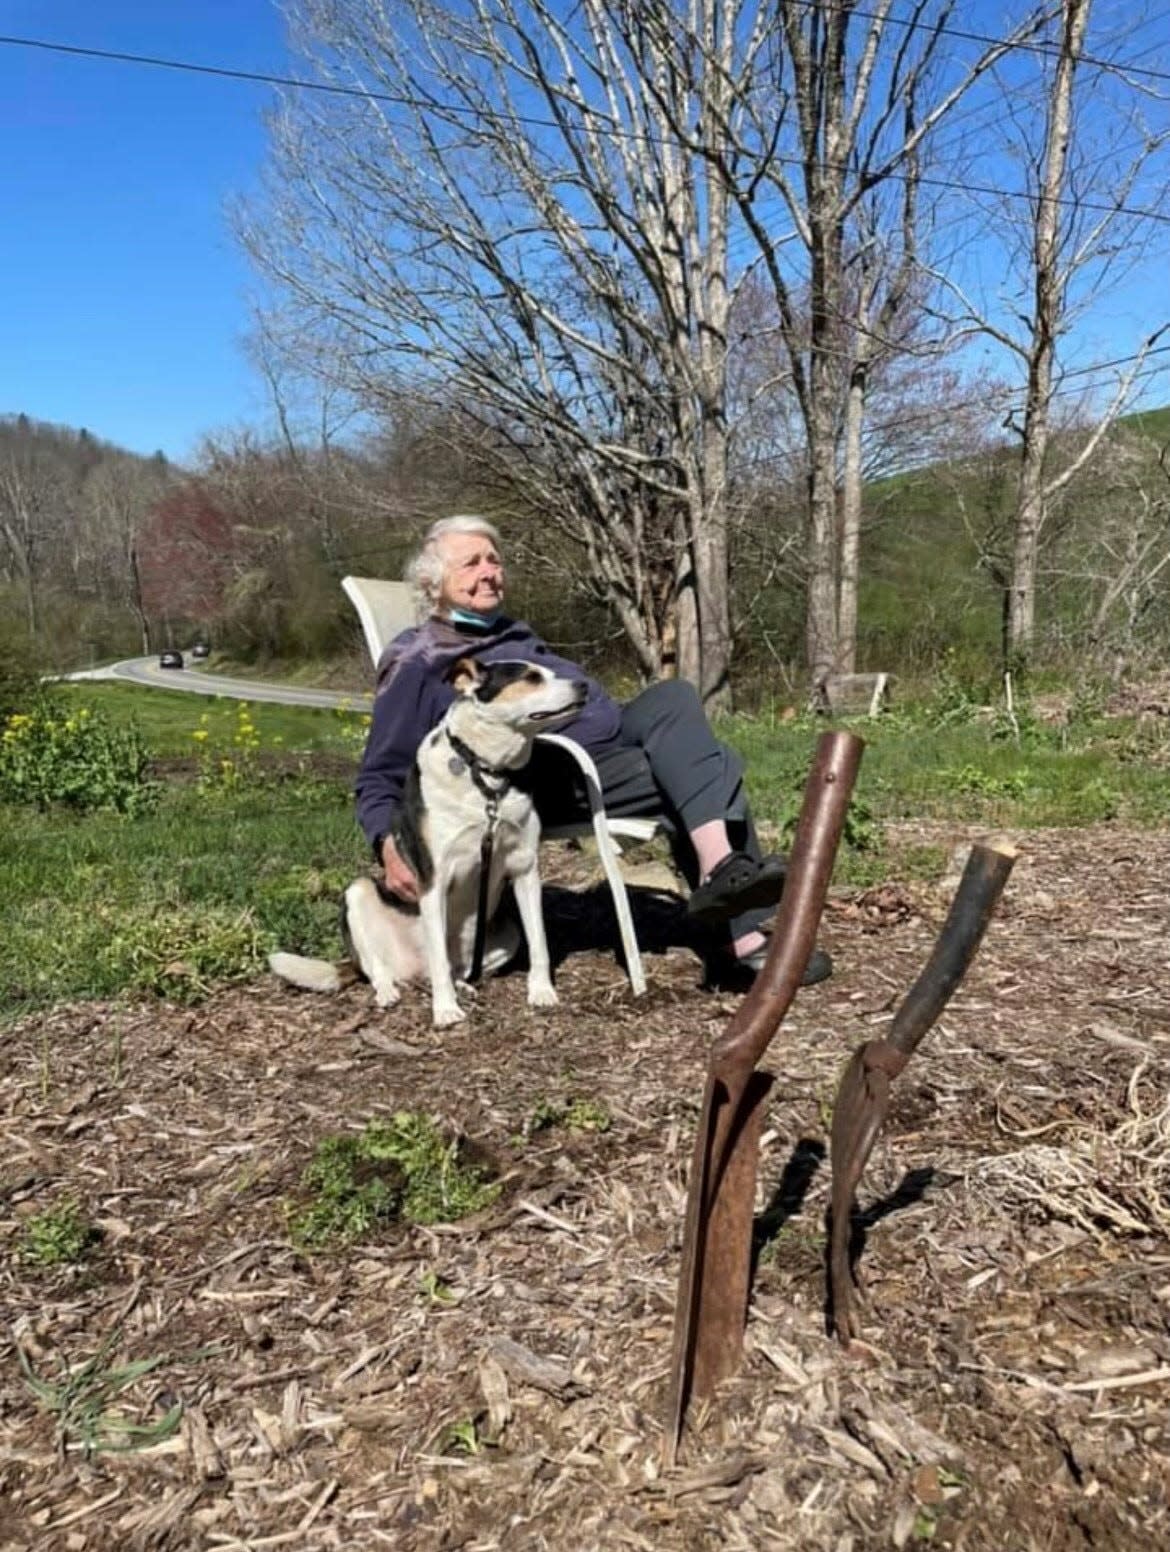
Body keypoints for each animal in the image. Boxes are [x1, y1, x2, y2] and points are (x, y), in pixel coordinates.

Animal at [270, 658, 586, 1030]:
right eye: (532, 678)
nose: (584, 685)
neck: (486, 775)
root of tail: (411, 970)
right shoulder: (434, 880)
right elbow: (438, 959)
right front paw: (445, 1010)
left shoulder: (525, 869)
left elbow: (540, 943)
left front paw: (541, 991)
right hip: (358, 893)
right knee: (385, 969)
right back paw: (389, 992)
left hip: (506, 931)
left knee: (457, 968)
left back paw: (464, 985)